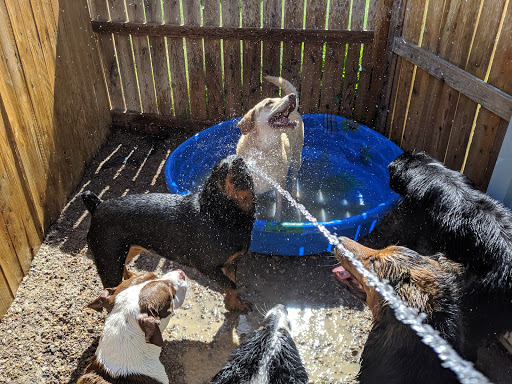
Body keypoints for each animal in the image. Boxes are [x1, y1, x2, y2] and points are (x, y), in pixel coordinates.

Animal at [82, 154, 256, 314]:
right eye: (220, 168)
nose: (239, 159)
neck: (220, 214)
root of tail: (98, 206)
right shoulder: (207, 267)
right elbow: (231, 285)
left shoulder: (231, 263)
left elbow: (232, 285)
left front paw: (234, 305)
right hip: (108, 262)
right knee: (111, 291)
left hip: (127, 249)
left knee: (124, 265)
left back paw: (131, 277)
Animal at [236, 75, 304, 220]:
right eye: (269, 103)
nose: (292, 96)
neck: (264, 149)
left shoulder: (279, 184)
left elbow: (278, 207)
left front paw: (277, 221)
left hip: (297, 157)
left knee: (294, 177)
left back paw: (294, 194)